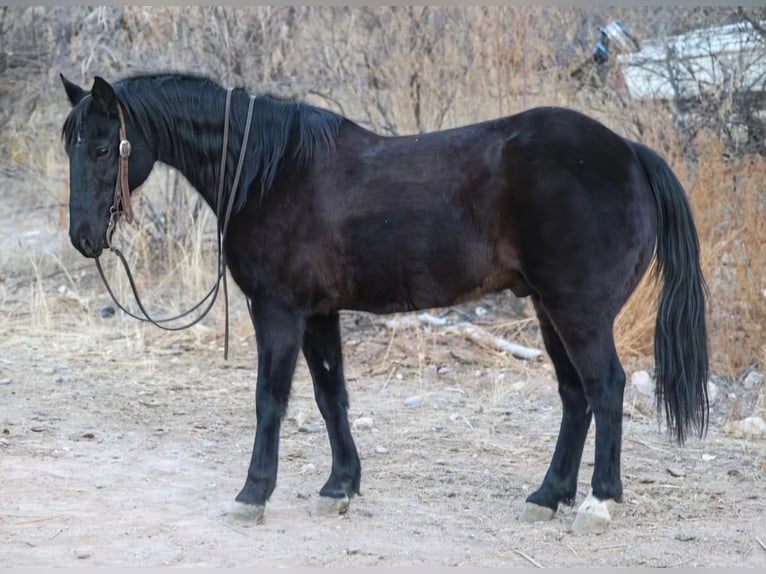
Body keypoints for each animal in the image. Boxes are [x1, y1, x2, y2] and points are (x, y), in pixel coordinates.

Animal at [59, 72, 709, 534]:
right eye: (71, 146)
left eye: (104, 147)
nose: (83, 237)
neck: (270, 172)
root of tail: (629, 152)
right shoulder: (319, 314)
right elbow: (330, 397)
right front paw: (339, 486)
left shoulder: (278, 311)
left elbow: (270, 400)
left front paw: (253, 494)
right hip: (550, 310)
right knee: (575, 397)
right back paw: (548, 496)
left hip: (578, 312)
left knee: (605, 389)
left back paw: (598, 503)